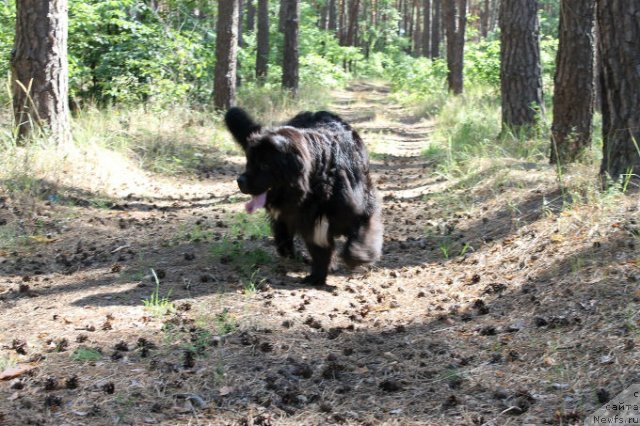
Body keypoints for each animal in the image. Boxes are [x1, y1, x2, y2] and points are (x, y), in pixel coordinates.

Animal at [225, 107, 382, 286]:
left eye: (264, 165)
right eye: (249, 163)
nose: (240, 180)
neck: (321, 180)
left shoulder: (361, 208)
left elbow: (362, 232)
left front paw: (356, 256)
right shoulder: (309, 222)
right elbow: (319, 250)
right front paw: (317, 276)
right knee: (282, 229)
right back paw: (289, 252)